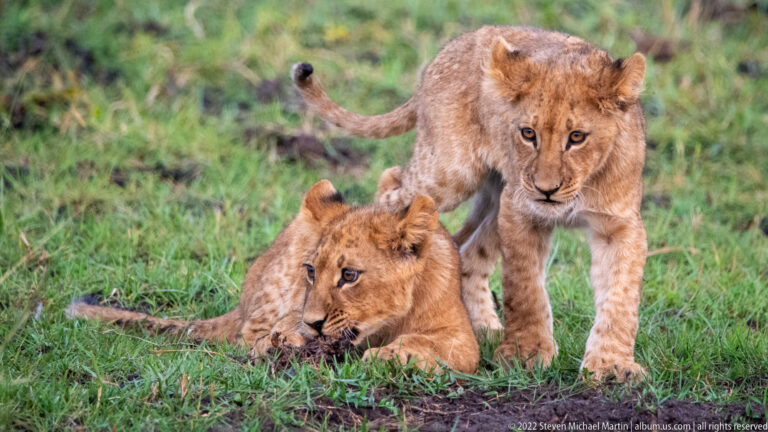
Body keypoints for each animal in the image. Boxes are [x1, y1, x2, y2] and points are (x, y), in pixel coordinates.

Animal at [67, 180, 479, 373]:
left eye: (349, 275)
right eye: (312, 271)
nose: (313, 324)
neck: (385, 323)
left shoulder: (463, 338)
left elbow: (434, 345)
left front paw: (394, 354)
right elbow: (284, 323)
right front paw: (291, 336)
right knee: (245, 335)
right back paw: (271, 345)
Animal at [291, 26, 648, 382]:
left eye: (577, 137)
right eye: (527, 133)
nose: (546, 190)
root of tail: (449, 50)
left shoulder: (619, 225)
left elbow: (621, 298)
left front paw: (612, 366)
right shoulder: (519, 209)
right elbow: (525, 290)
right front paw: (526, 355)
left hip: (492, 194)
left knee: (468, 251)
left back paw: (484, 329)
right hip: (449, 173)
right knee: (391, 182)